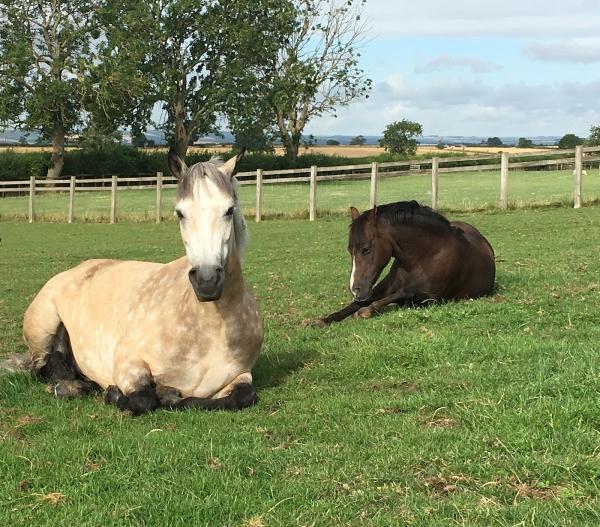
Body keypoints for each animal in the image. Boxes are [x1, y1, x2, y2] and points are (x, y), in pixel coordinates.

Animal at [23, 150, 262, 416]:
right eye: (180, 213)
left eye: (229, 210)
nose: (207, 281)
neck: (207, 329)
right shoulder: (129, 365)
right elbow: (143, 399)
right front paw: (114, 394)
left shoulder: (240, 376)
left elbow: (242, 396)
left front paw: (168, 394)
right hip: (42, 330)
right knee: (43, 366)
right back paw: (70, 386)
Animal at [312, 202, 494, 326]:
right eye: (350, 250)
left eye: (366, 249)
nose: (355, 289)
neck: (425, 255)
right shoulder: (380, 288)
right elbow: (356, 304)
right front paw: (322, 320)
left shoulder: (430, 298)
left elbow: (402, 293)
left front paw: (364, 312)